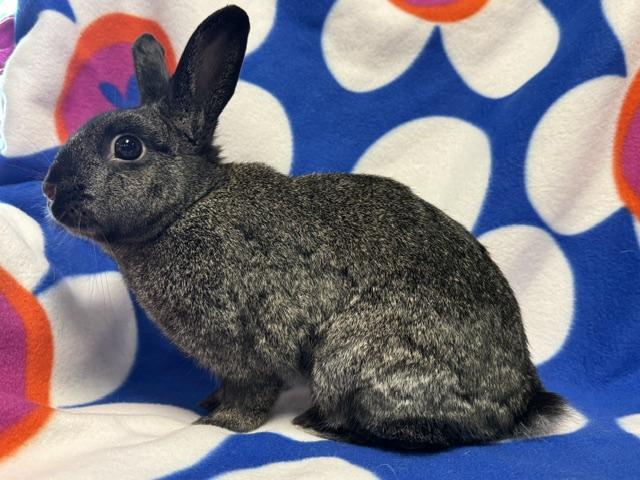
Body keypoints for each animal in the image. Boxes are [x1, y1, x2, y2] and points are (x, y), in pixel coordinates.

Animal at [42, 5, 567, 450]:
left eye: (127, 147)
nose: (50, 188)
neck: (189, 205)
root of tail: (518, 403)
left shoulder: (247, 347)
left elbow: (250, 392)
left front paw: (218, 423)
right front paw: (208, 405)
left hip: (355, 357)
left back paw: (324, 424)